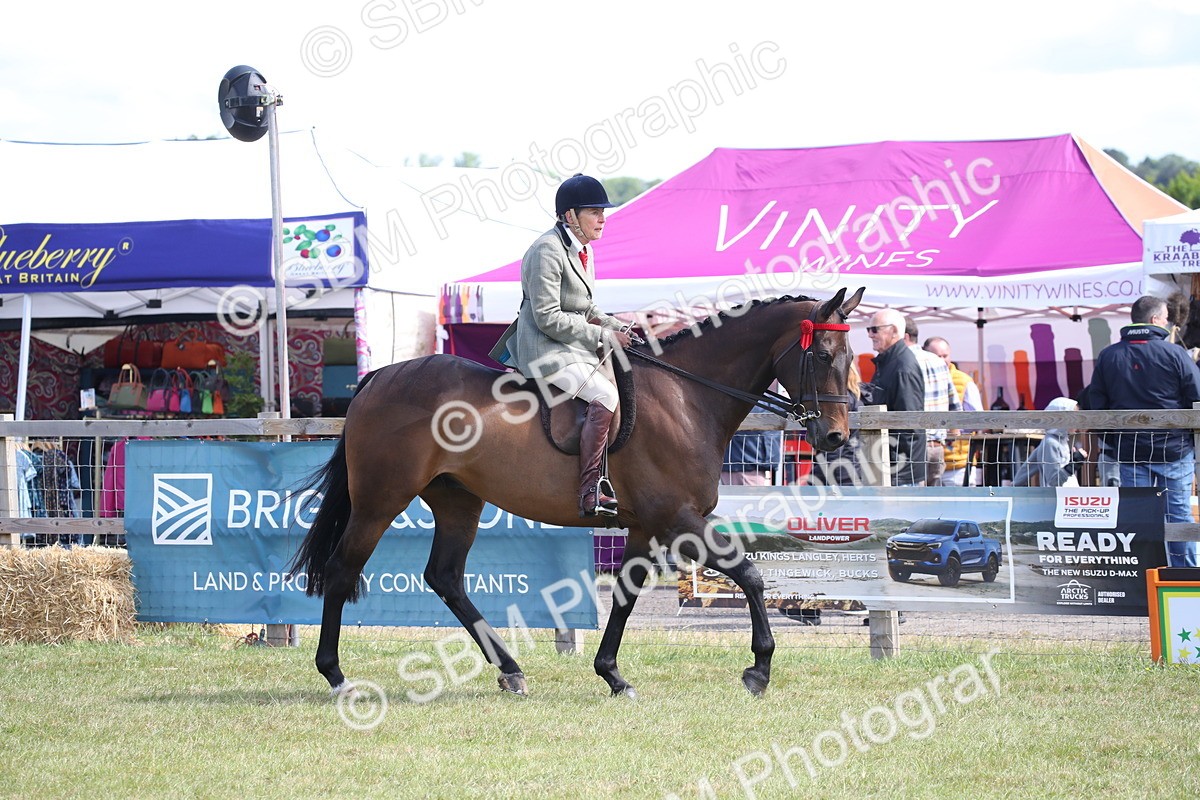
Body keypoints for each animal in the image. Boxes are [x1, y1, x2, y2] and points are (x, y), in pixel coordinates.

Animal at [290, 286, 865, 699]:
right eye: (824, 355)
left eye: (849, 354)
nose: (835, 437)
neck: (686, 396)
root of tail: (378, 378)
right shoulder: (678, 518)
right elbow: (749, 575)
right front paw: (758, 669)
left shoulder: (644, 525)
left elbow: (627, 595)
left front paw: (612, 674)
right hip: (380, 500)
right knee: (342, 570)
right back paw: (336, 676)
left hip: (458, 501)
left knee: (444, 577)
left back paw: (511, 671)